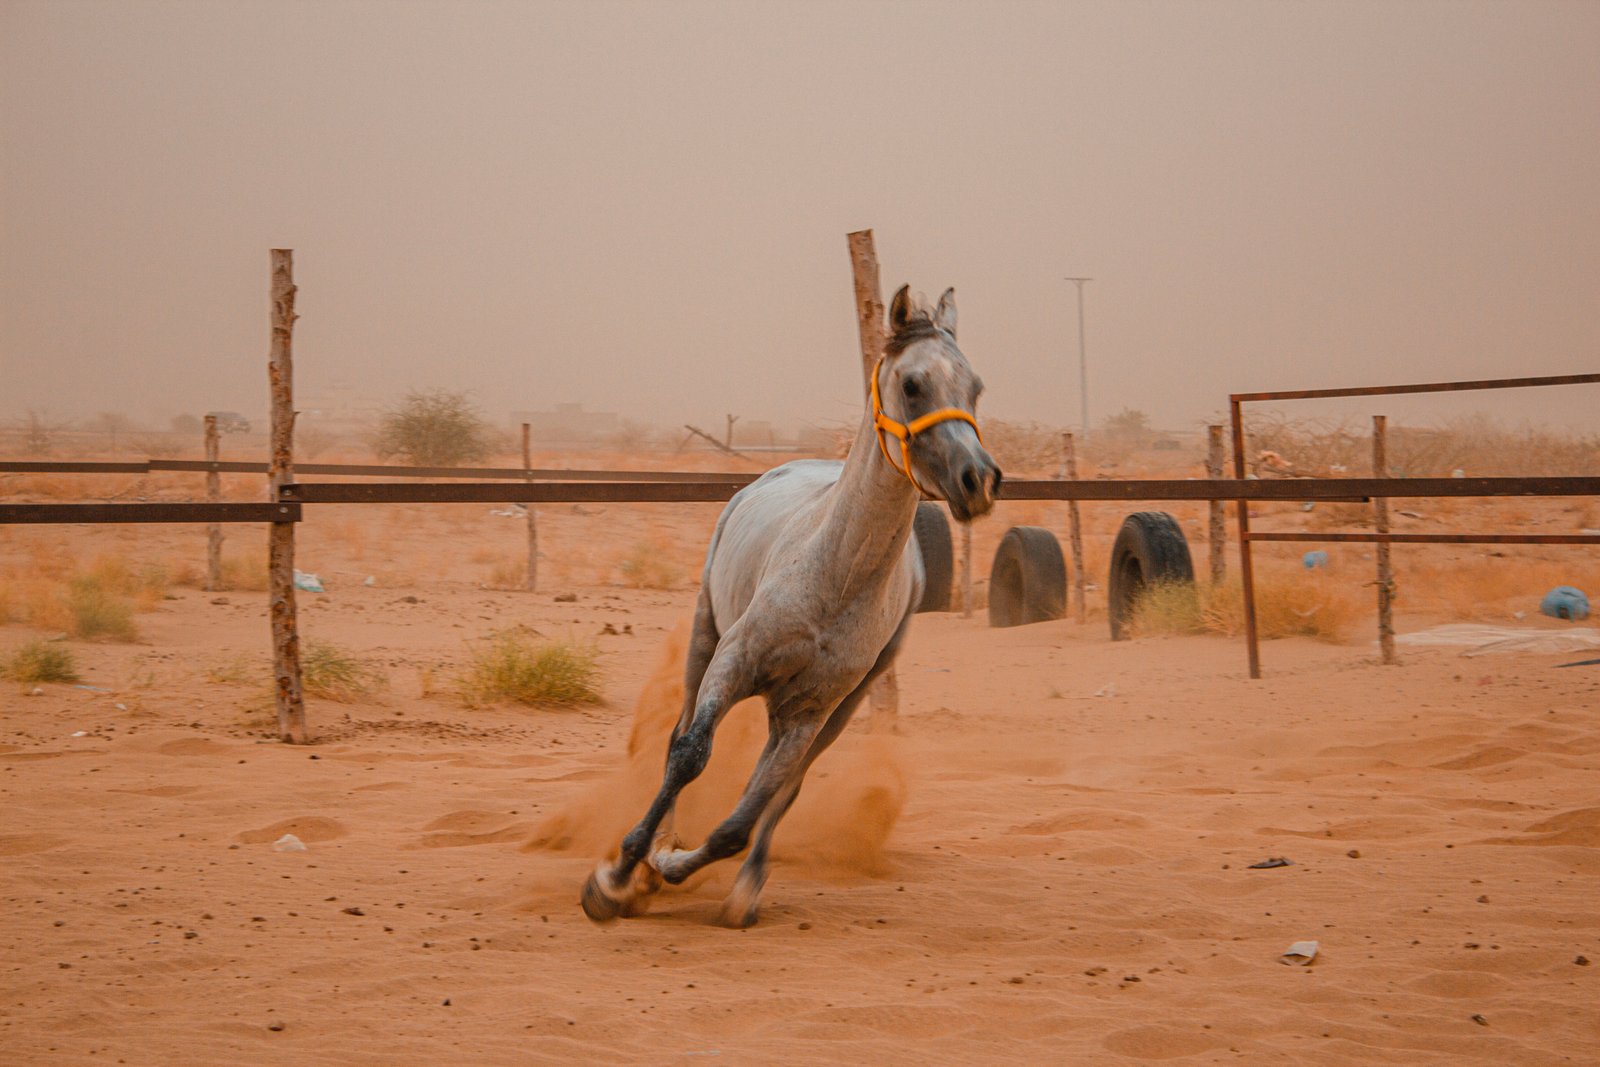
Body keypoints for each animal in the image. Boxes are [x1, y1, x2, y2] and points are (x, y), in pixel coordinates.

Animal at [581, 285, 1001, 928]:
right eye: (912, 385)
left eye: (974, 387)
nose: (978, 480)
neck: (834, 578)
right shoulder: (732, 662)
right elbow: (689, 755)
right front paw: (617, 876)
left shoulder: (810, 710)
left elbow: (746, 817)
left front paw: (671, 866)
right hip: (704, 636)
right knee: (679, 735)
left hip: (839, 707)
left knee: (781, 789)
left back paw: (740, 885)